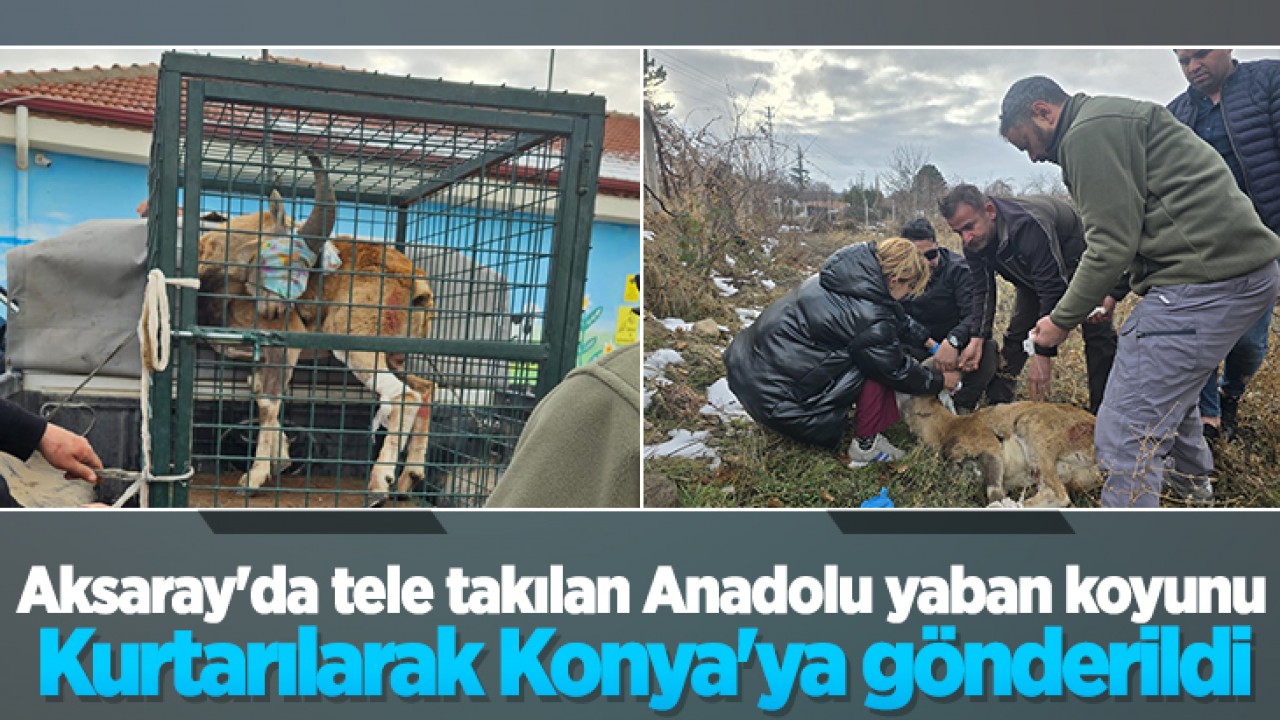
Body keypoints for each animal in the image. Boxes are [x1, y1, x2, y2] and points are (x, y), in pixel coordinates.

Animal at [193, 155, 435, 504]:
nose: (276, 310)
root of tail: (417, 287)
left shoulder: (283, 347)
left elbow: (268, 403)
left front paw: (254, 478)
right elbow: (260, 392)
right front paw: (281, 460)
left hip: (355, 343)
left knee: (405, 394)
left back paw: (379, 486)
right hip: (394, 355)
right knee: (426, 387)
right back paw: (408, 480)